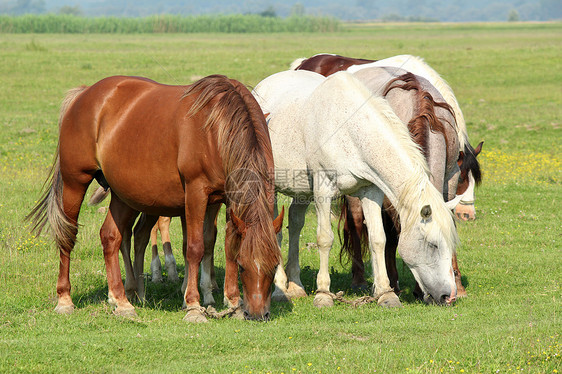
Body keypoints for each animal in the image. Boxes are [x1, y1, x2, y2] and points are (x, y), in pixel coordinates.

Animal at [27, 75, 284, 322]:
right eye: (243, 267)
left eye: (274, 266)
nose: (258, 314)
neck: (216, 129)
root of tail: (84, 94)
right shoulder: (195, 193)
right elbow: (195, 247)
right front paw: (193, 306)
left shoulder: (229, 198)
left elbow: (228, 245)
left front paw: (233, 303)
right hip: (75, 182)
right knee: (68, 236)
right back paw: (65, 299)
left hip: (122, 194)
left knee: (111, 236)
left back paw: (122, 301)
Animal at [254, 71, 460, 308]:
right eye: (432, 245)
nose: (448, 296)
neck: (349, 129)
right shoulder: (323, 190)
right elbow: (324, 239)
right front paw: (323, 294)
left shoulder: (371, 190)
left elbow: (378, 239)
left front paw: (386, 293)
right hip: (271, 188)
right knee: (275, 231)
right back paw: (280, 290)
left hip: (302, 190)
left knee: (295, 225)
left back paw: (295, 286)